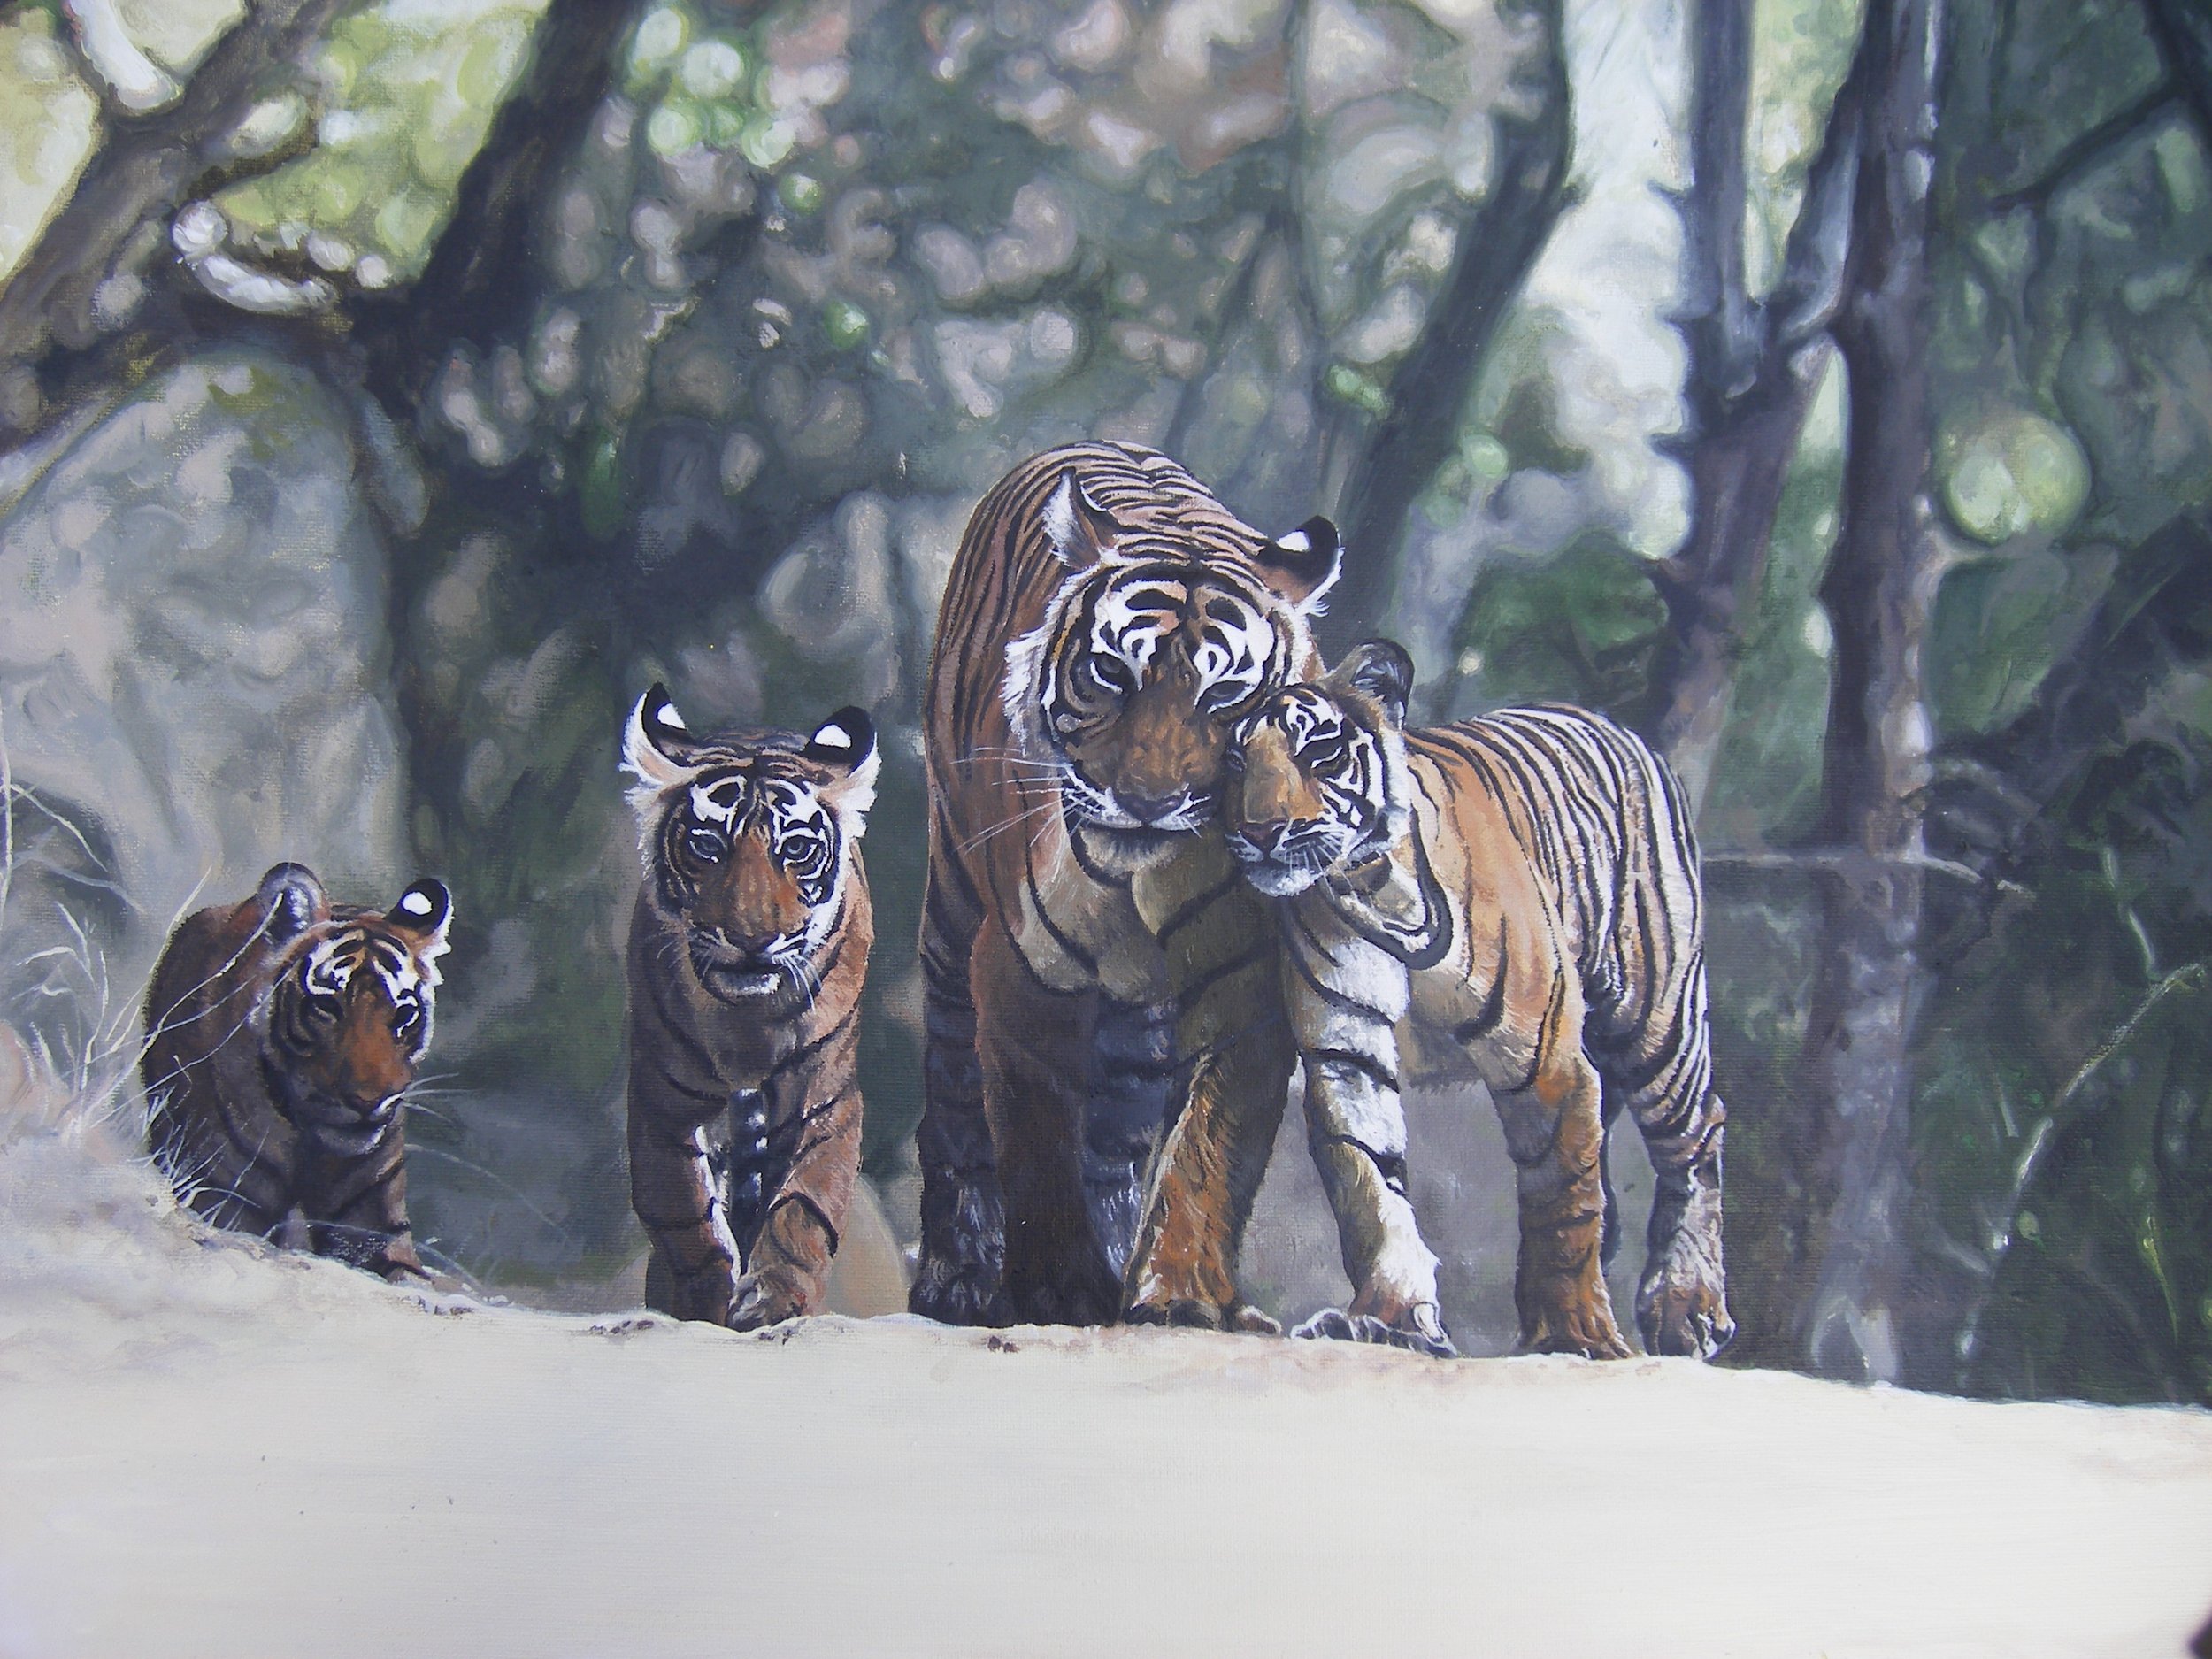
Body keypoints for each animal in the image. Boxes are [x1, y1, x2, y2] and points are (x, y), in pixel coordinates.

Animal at [140, 862, 451, 1281]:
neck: (309, 1147)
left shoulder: (375, 1225)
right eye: (328, 1007)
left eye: (404, 1015)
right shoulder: (224, 1198)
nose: (369, 1100)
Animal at [622, 684, 877, 1330]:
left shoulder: (825, 1093)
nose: (753, 937)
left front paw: (776, 1298)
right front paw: (705, 1304)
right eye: (707, 846)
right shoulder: (665, 1101)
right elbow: (686, 1216)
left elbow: (805, 1202)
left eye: (797, 849)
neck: (748, 1021)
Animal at [914, 439, 1344, 1329]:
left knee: (1117, 1137)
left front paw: (1179, 1292)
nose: (1146, 801)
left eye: (1225, 693)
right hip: (952, 905)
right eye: (1111, 673)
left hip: (1139, 1027)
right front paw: (1053, 1286)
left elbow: (1210, 1143)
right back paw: (959, 1274)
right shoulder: (1017, 970)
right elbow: (1036, 1132)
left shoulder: (1247, 989)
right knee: (954, 1090)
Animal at [1219, 639, 1735, 1360]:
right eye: (1235, 761)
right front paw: (1390, 1319)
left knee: (1697, 1136)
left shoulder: (1547, 1062)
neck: (1371, 885)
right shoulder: (1348, 1054)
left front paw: (1575, 1334)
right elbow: (1370, 1185)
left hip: (1656, 1020)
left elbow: (1560, 1198)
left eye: (1317, 749)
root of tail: (1617, 727)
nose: (1263, 831)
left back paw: (1688, 1306)